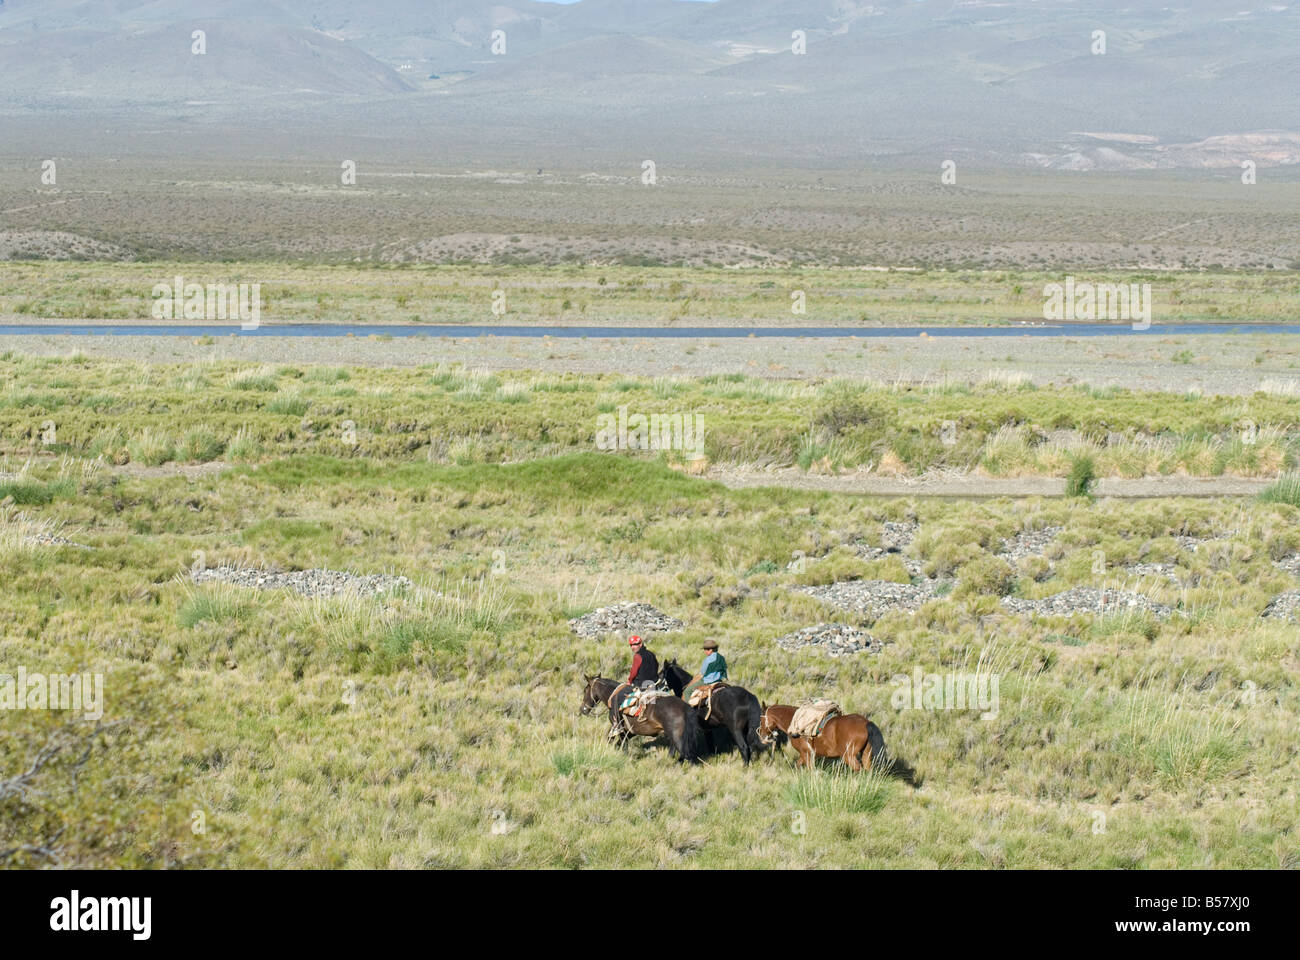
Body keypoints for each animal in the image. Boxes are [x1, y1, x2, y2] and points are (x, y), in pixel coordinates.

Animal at [759, 702, 889, 770]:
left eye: (761, 719)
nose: (762, 735)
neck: (795, 721)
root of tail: (866, 722)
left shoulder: (806, 754)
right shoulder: (805, 755)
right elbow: (798, 765)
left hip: (848, 755)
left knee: (858, 769)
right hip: (866, 754)